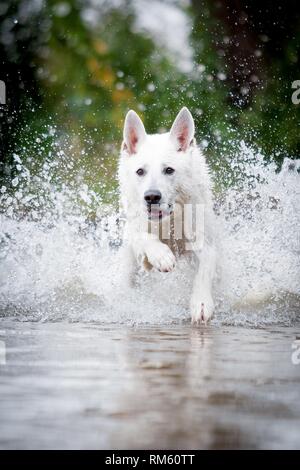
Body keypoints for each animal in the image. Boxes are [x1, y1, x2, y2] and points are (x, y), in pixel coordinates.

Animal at [118, 106, 217, 324]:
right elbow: (143, 237)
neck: (168, 222)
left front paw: (201, 302)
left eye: (169, 170)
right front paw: (161, 256)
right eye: (140, 171)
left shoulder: (204, 238)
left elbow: (206, 265)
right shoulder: (134, 230)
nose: (151, 197)